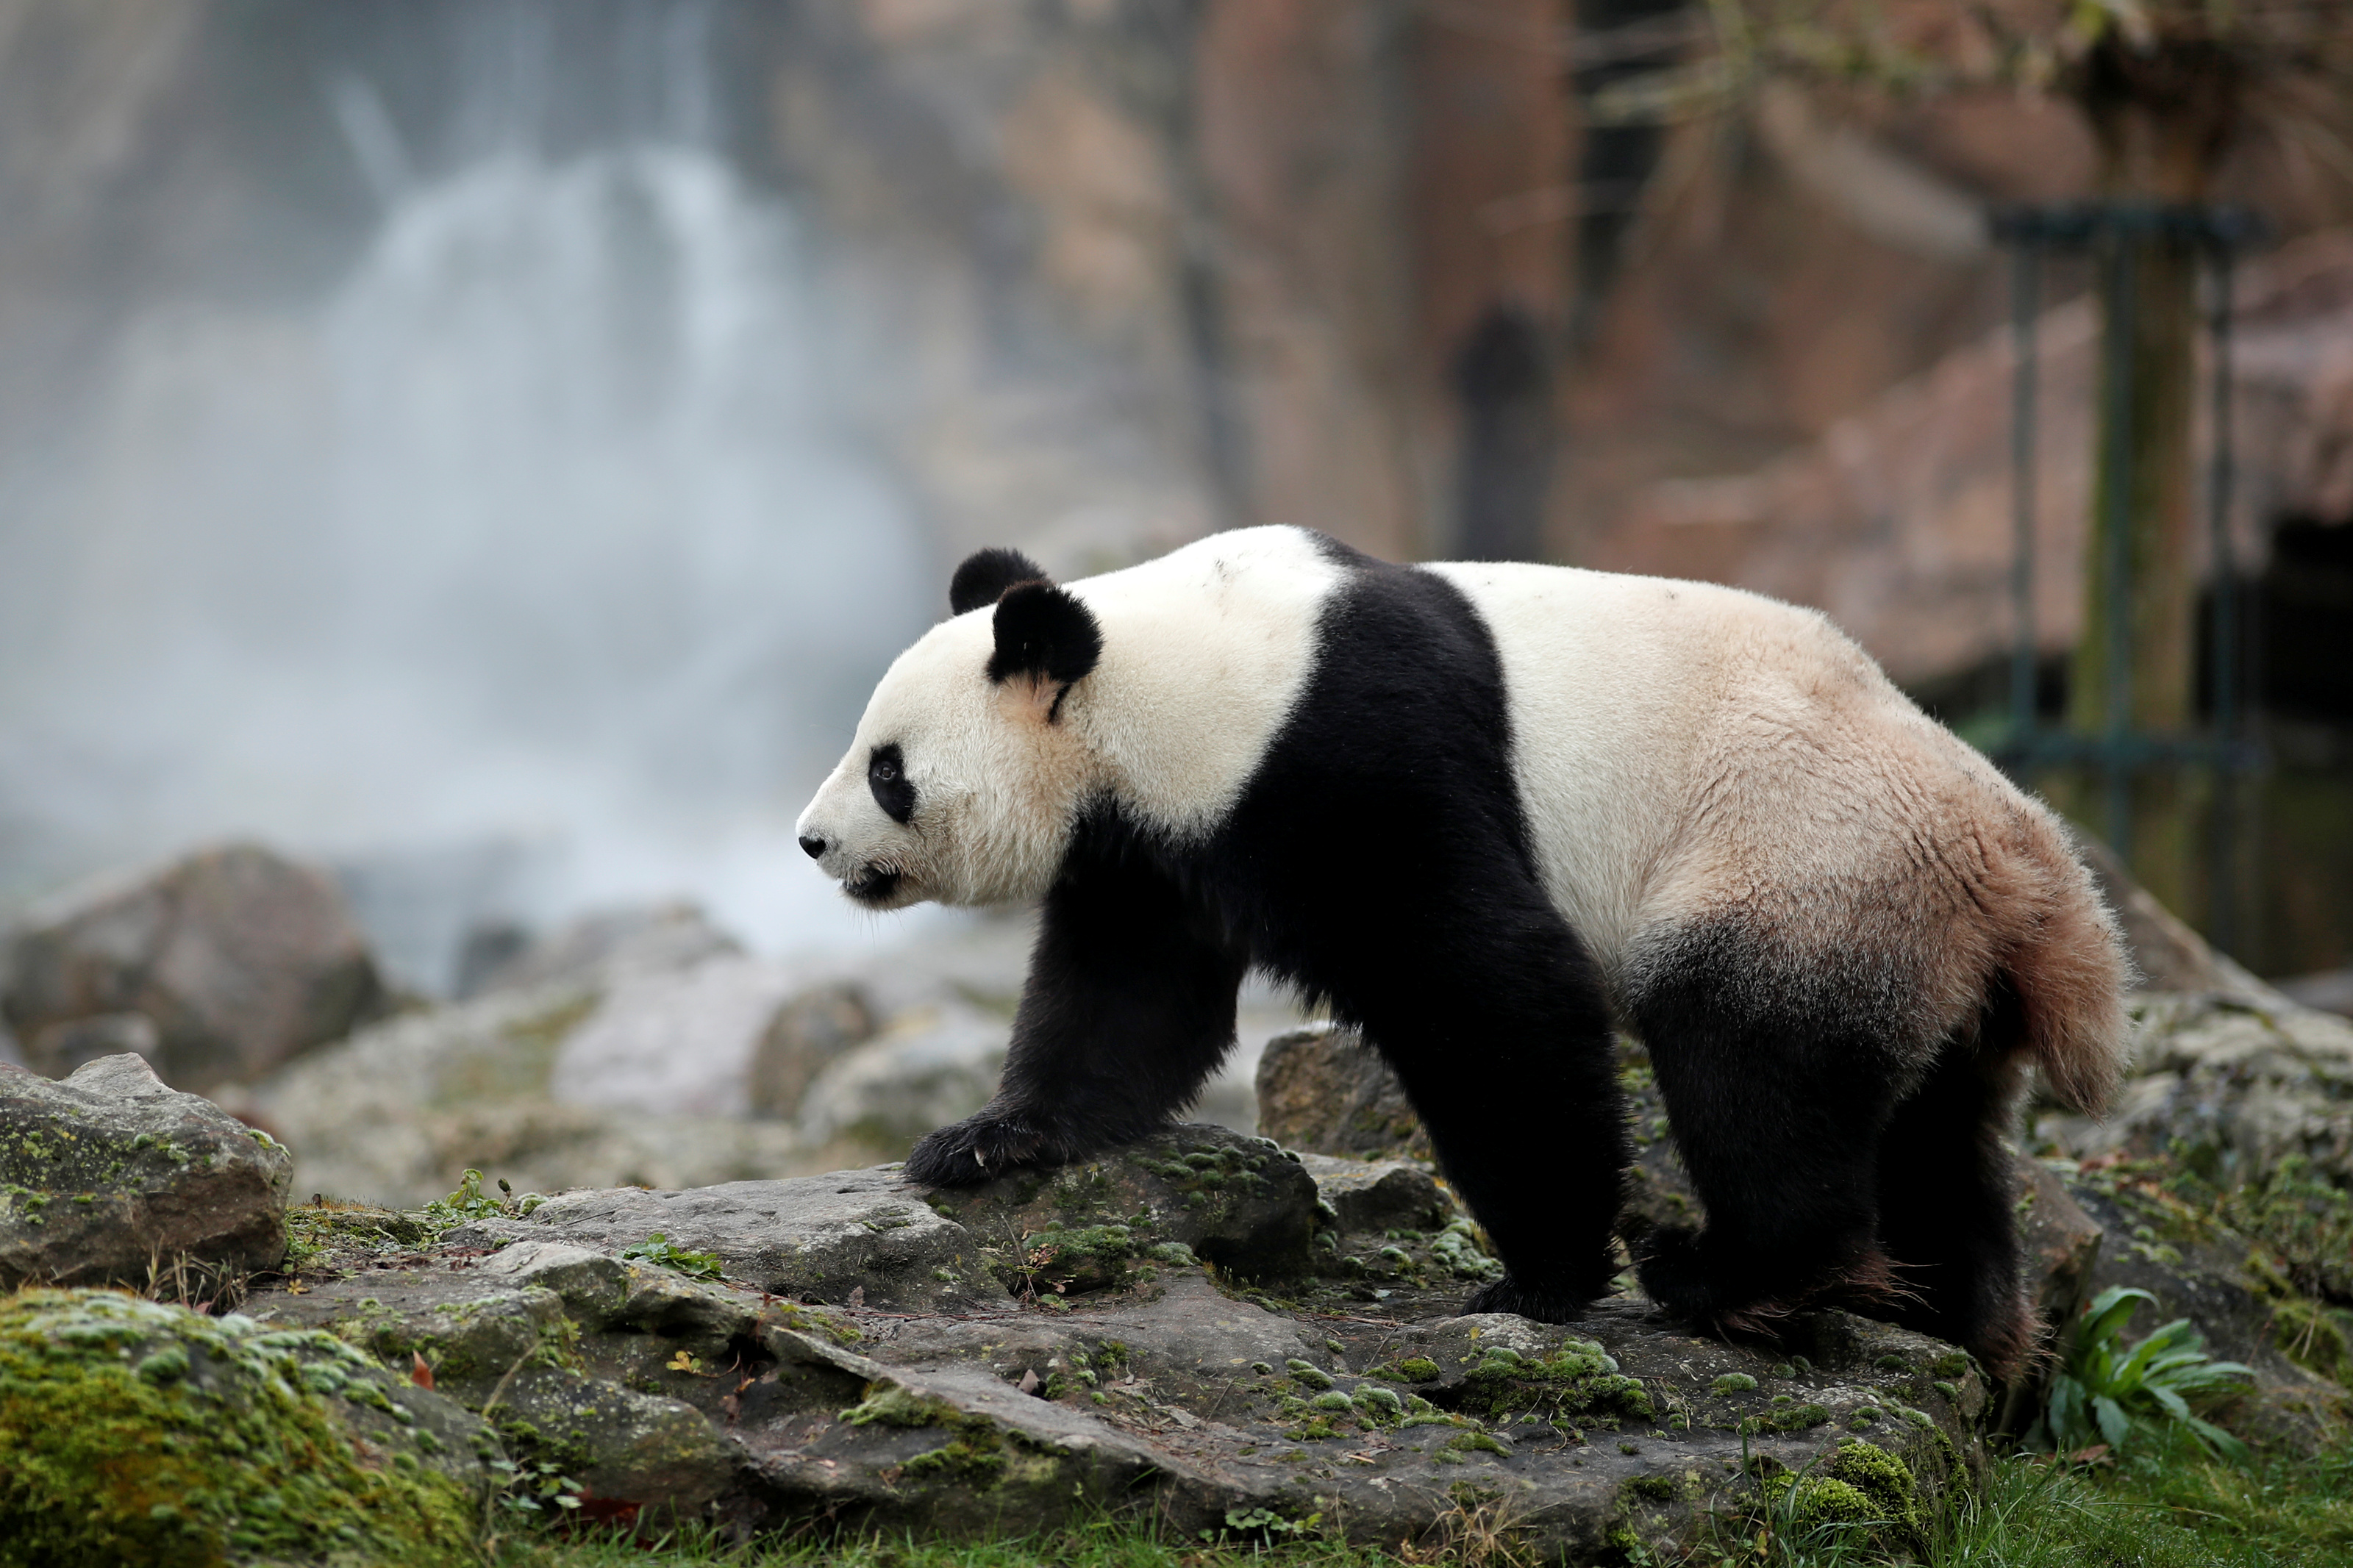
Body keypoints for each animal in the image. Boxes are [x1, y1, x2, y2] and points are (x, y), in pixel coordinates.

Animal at [795, 526, 2136, 1372]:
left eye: (888, 768)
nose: (811, 841)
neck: (1168, 668)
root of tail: (2031, 865)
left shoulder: (1343, 755)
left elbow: (1488, 985)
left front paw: (1540, 1278)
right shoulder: (1160, 838)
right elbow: (1127, 995)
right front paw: (989, 1138)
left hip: (1806, 859)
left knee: (1754, 1063)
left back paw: (1721, 1272)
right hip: (1915, 940)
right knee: (1931, 1130)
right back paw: (1962, 1321)